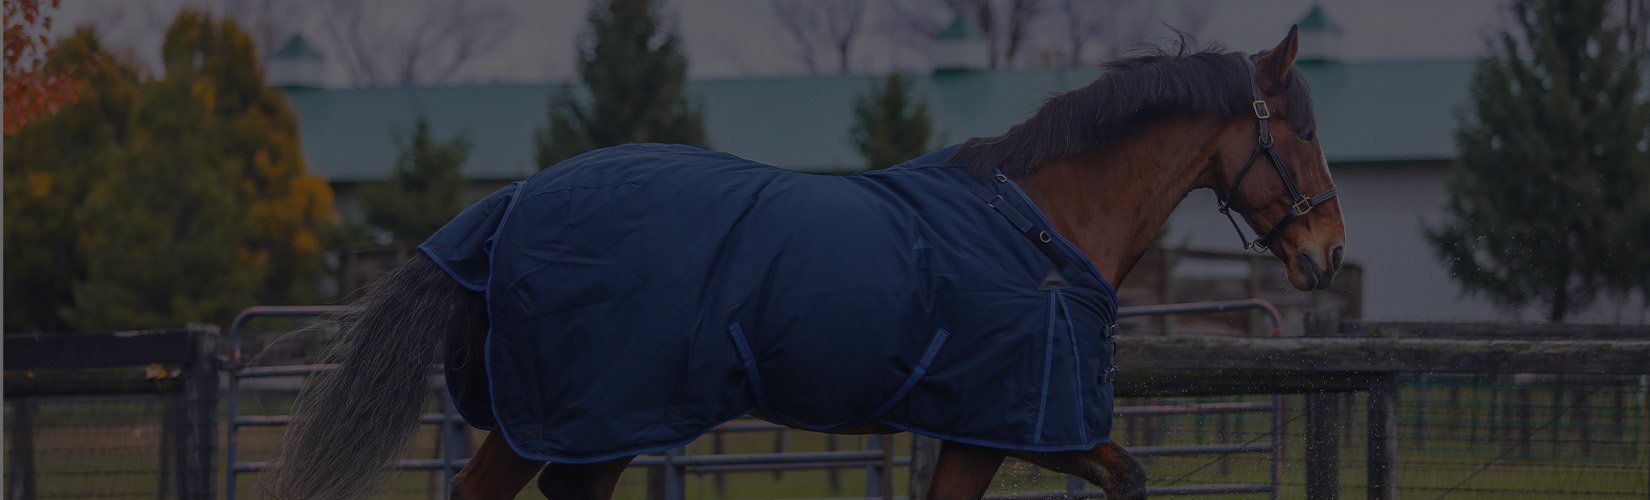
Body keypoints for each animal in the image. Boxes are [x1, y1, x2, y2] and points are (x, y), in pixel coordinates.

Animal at [263, 27, 1343, 500]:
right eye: (1302, 131)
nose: (1329, 253)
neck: (1042, 229)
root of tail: (504, 207)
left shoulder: (977, 430)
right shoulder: (1025, 425)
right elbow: (1131, 477)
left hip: (572, 434)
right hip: (579, 426)